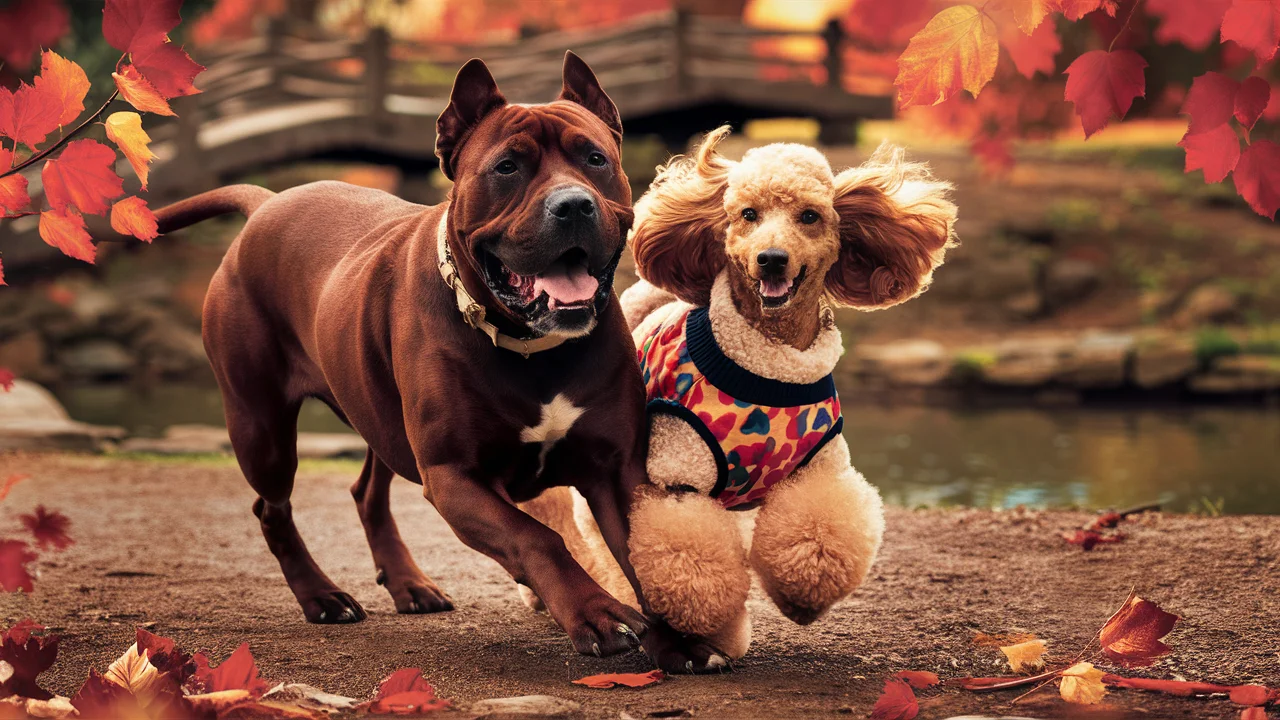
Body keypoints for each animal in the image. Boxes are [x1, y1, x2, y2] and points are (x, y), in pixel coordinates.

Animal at [152, 53, 711, 666]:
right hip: (262, 428)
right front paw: (596, 613)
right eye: (508, 167)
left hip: (376, 413)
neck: (531, 346)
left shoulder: (614, 467)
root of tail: (266, 204)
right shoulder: (452, 476)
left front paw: (678, 637)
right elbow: (537, 536)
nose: (573, 205)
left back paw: (407, 583)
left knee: (366, 491)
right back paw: (322, 596)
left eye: (595, 158)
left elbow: (644, 549)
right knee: (272, 509)